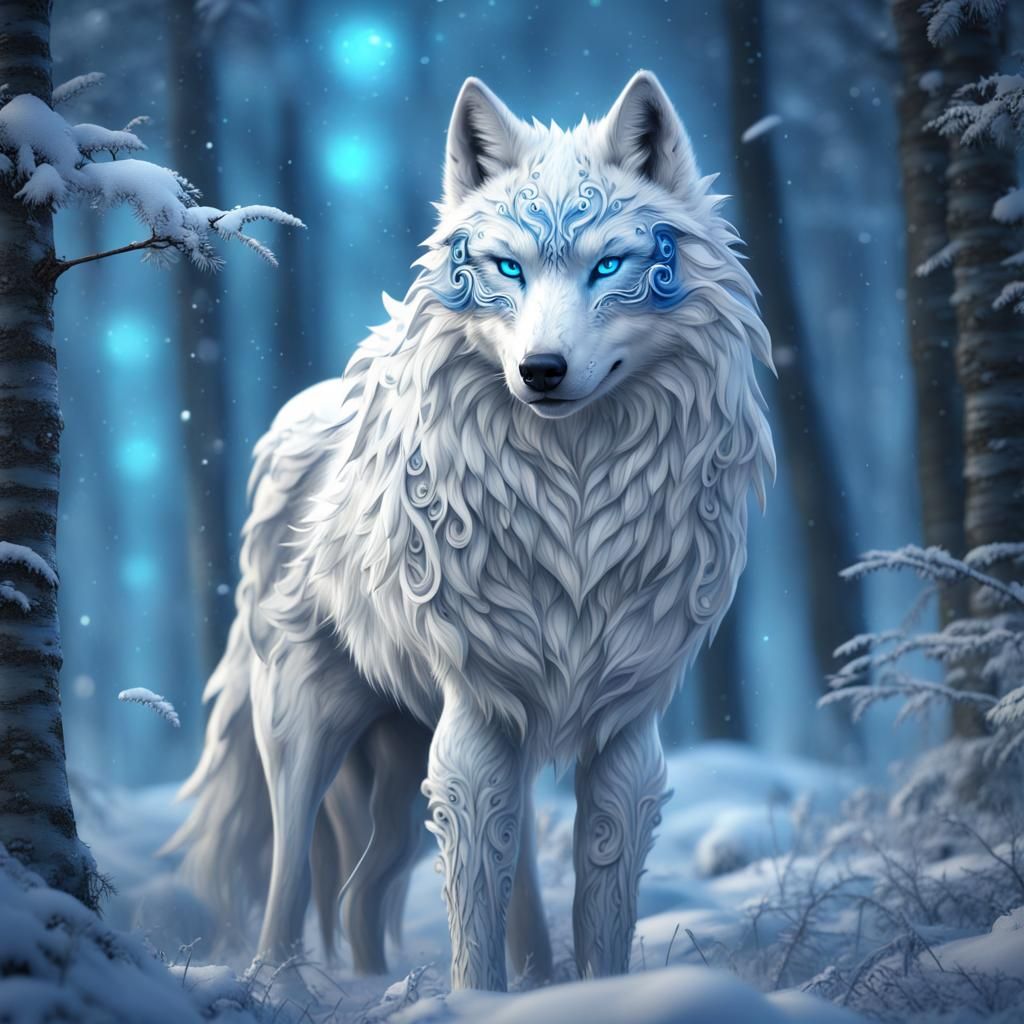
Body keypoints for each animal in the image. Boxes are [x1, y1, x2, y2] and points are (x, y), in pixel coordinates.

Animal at [167, 70, 775, 992]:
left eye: (608, 265)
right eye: (508, 268)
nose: (541, 371)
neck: (574, 502)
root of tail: (297, 415)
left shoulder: (623, 731)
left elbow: (601, 899)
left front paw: (597, 993)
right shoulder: (478, 720)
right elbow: (472, 901)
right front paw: (475, 999)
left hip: (423, 758)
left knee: (369, 894)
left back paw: (449, 981)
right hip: (308, 728)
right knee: (291, 873)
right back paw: (279, 984)